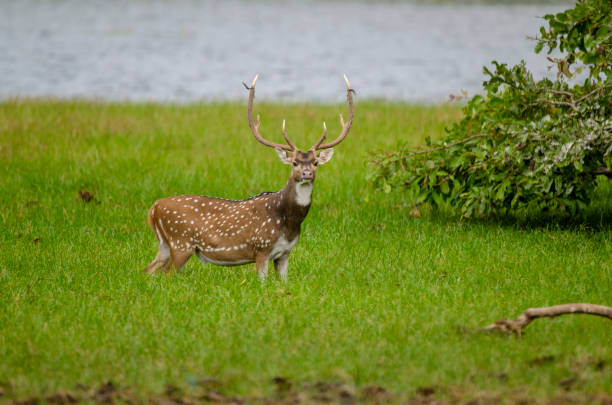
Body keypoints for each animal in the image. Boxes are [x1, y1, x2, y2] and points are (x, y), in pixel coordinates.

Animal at [145, 74, 354, 280]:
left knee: (148, 269)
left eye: (315, 162)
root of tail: (154, 208)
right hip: (181, 242)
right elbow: (262, 281)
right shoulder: (261, 247)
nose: (307, 173)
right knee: (167, 275)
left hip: (165, 245)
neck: (288, 222)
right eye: (294, 163)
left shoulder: (285, 252)